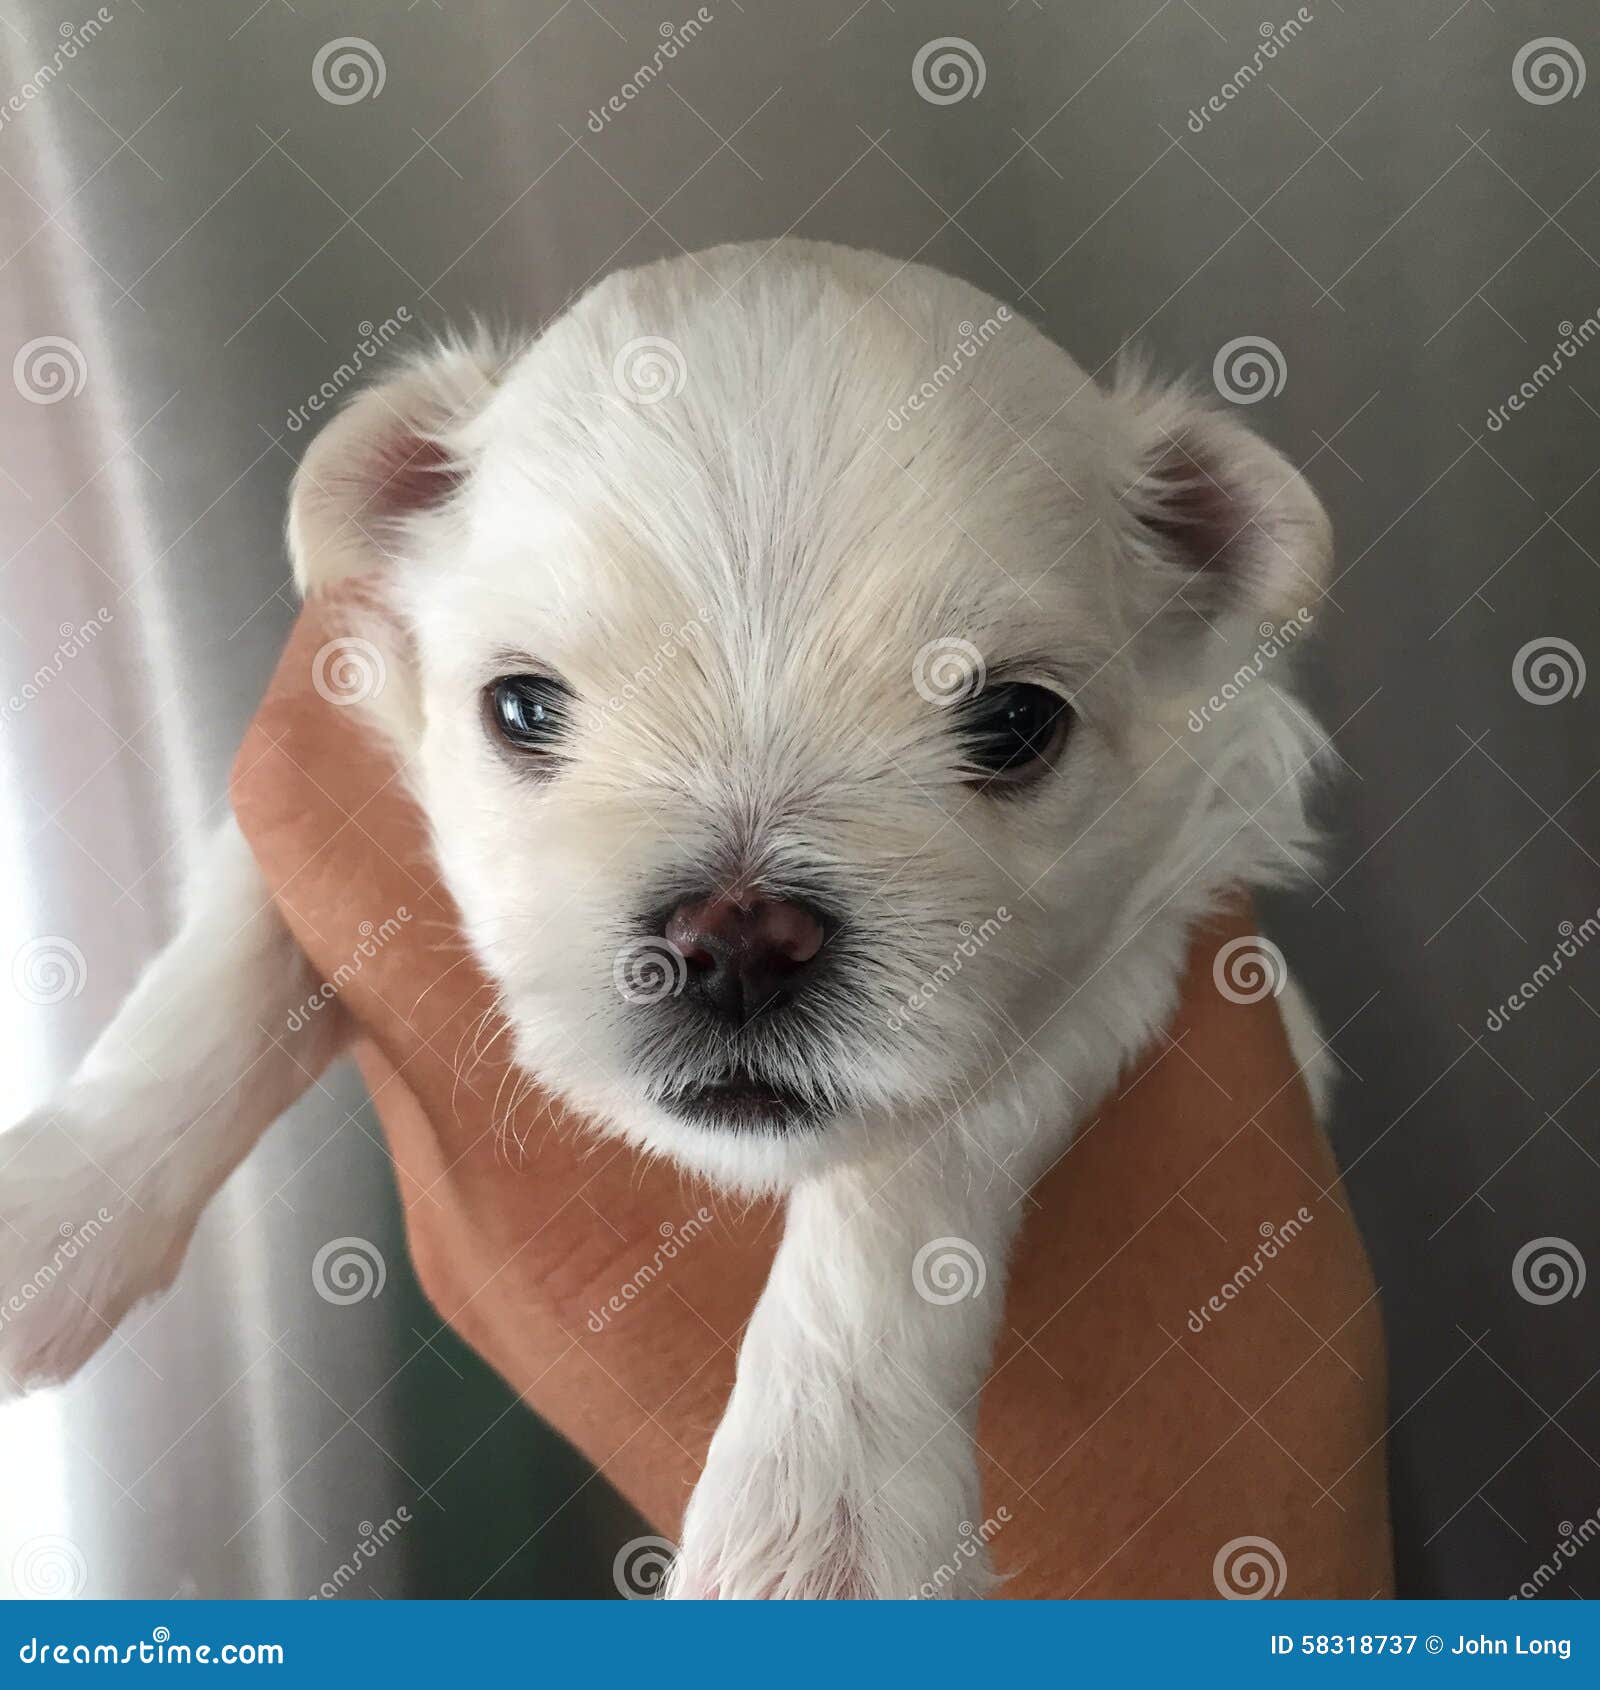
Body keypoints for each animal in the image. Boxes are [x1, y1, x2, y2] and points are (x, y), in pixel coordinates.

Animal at [0, 238, 1338, 1595]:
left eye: (1015, 723)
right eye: (521, 708)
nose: (737, 939)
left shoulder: (1122, 953)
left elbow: (906, 1176)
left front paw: (822, 1517)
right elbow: (211, 975)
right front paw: (54, 1211)